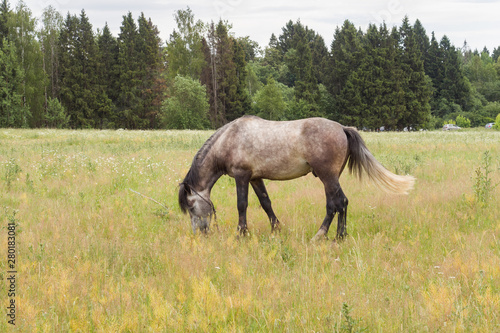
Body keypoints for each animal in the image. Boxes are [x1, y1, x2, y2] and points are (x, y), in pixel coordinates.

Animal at [179, 115, 414, 240]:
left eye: (191, 206)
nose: (199, 233)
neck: (230, 139)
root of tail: (342, 128)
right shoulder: (255, 178)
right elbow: (265, 203)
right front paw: (276, 229)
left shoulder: (242, 176)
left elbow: (241, 205)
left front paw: (241, 233)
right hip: (331, 178)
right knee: (337, 204)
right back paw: (334, 235)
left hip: (328, 177)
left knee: (338, 203)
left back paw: (326, 236)